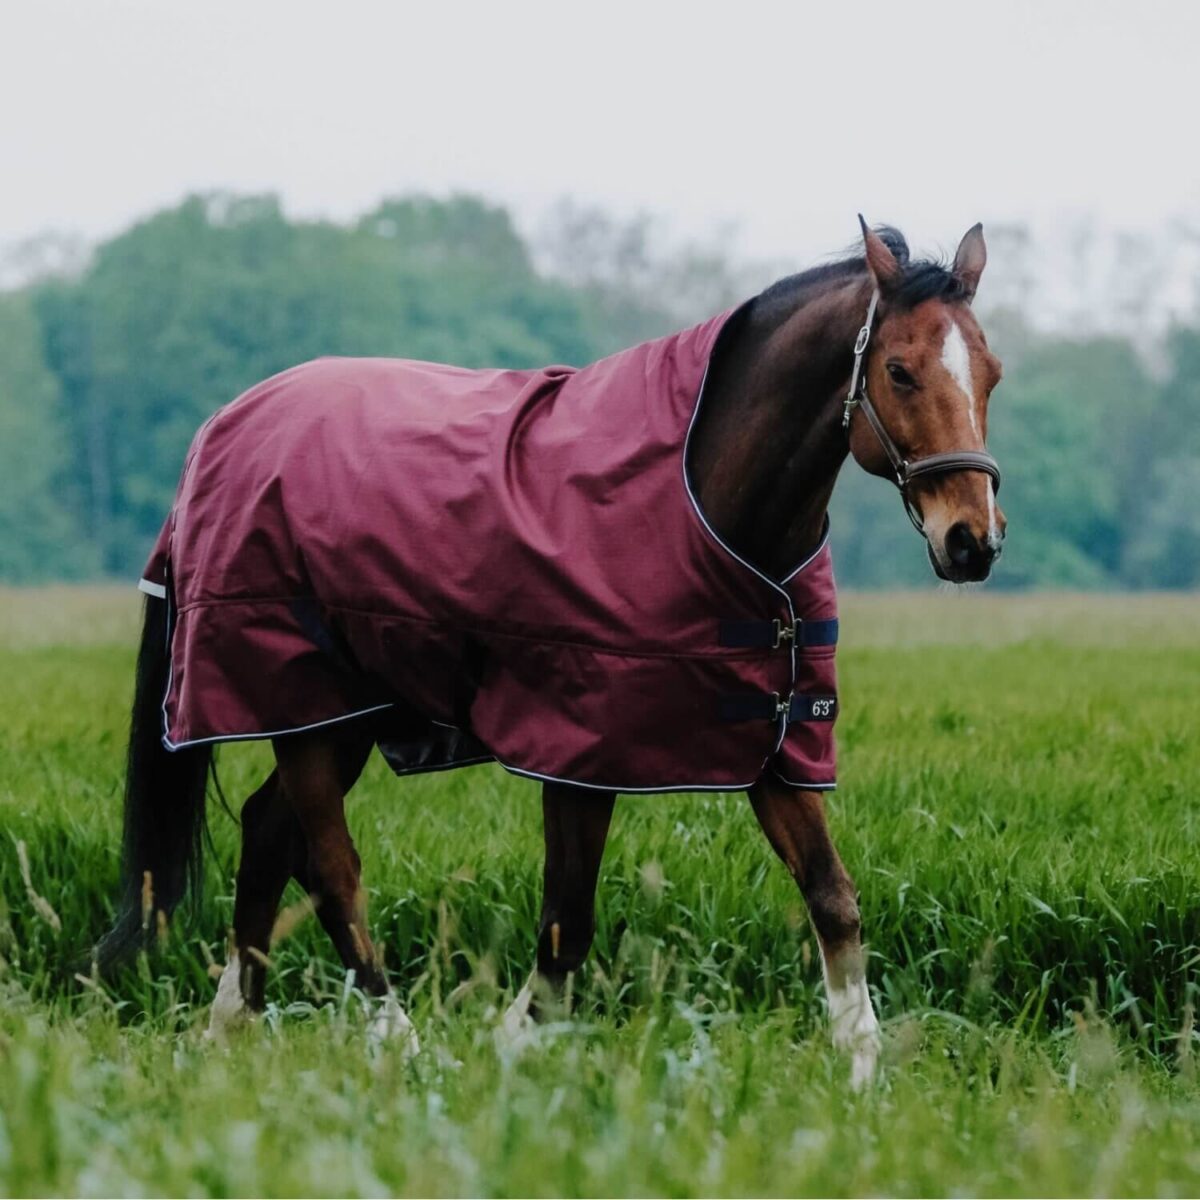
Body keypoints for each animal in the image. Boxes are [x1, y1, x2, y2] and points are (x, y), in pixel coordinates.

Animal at [97, 218, 1004, 1088]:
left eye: (991, 371)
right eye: (899, 370)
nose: (973, 540)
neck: (709, 504)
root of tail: (222, 427)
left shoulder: (772, 740)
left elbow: (832, 897)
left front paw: (861, 1070)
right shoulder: (579, 752)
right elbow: (567, 925)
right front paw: (506, 1052)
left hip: (339, 712)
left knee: (265, 835)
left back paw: (229, 1031)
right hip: (307, 706)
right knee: (330, 872)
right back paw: (400, 1043)